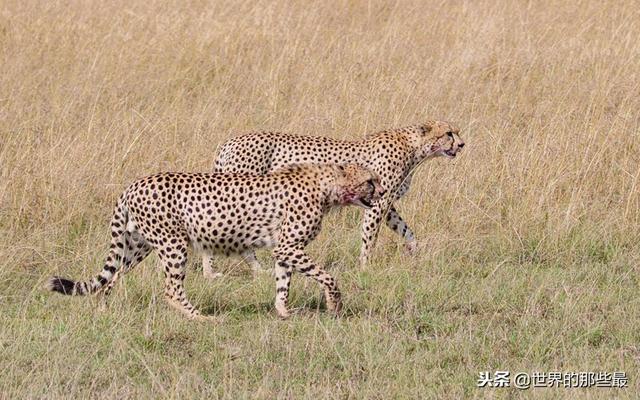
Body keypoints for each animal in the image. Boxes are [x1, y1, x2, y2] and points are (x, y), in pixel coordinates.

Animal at [47, 162, 384, 318]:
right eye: (370, 181)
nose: (382, 193)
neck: (328, 187)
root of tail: (134, 183)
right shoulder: (289, 246)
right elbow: (328, 276)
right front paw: (334, 304)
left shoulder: (285, 249)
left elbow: (283, 283)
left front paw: (283, 311)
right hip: (173, 245)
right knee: (170, 289)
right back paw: (200, 317)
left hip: (138, 245)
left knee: (112, 276)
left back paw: (104, 309)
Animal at [205, 119, 464, 276]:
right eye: (448, 133)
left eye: (457, 132)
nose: (462, 144)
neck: (415, 148)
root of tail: (229, 142)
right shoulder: (378, 203)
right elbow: (369, 236)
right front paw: (365, 267)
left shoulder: (386, 203)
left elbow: (406, 231)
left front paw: (414, 252)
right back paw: (237, 271)